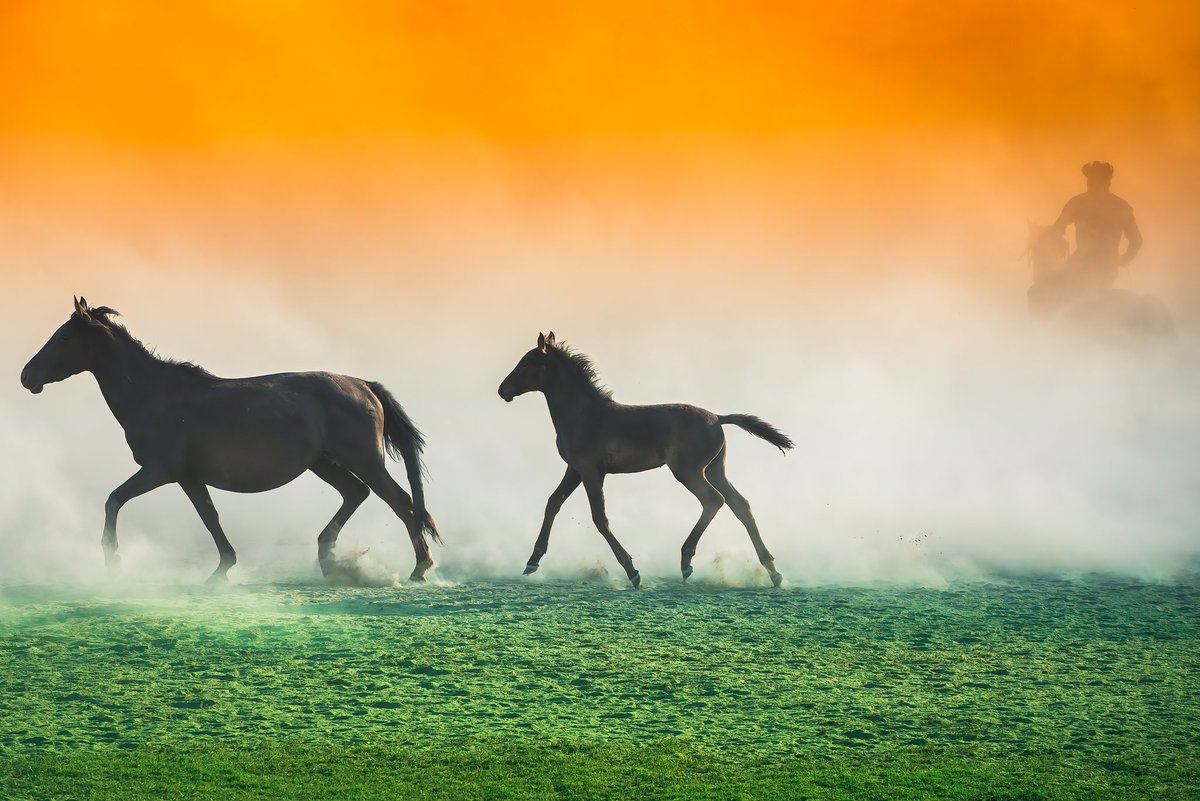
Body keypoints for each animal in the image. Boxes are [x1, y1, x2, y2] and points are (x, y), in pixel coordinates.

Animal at [20, 297, 440, 582]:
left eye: (64, 338)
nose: (27, 376)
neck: (155, 394)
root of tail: (364, 385)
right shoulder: (189, 477)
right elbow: (209, 516)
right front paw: (222, 568)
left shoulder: (160, 470)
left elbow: (114, 500)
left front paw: (112, 560)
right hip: (323, 463)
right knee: (356, 494)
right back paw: (328, 557)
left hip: (364, 461)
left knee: (401, 503)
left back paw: (420, 567)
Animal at [498, 332, 794, 588]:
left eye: (526, 363)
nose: (502, 390)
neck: (583, 415)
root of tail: (718, 418)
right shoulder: (575, 469)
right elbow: (553, 503)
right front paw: (532, 562)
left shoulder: (592, 470)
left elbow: (599, 518)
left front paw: (633, 572)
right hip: (715, 469)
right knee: (740, 505)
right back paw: (774, 571)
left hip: (688, 471)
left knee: (714, 500)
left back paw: (687, 561)